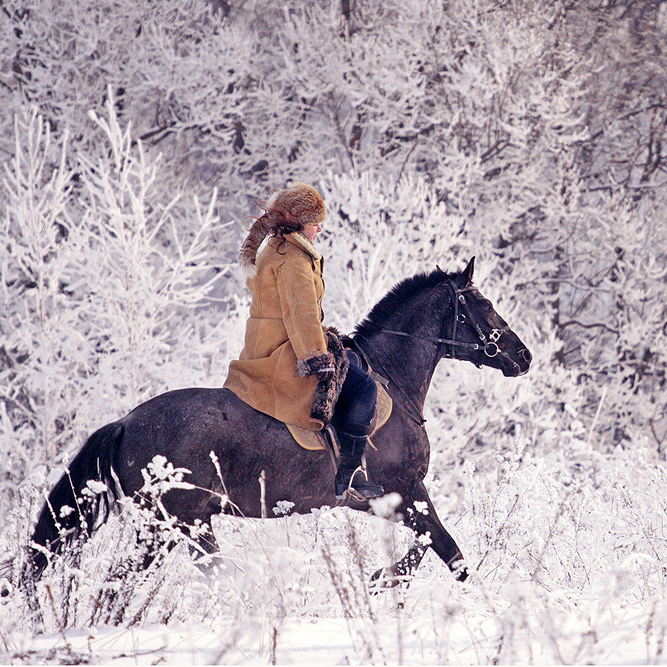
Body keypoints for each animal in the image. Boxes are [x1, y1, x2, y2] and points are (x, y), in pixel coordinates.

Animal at [28, 258, 536, 588]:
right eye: (484, 305)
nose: (524, 356)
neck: (392, 381)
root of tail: (126, 422)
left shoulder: (384, 499)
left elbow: (425, 549)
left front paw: (380, 579)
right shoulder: (407, 490)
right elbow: (450, 553)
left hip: (188, 526)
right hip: (170, 524)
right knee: (126, 582)